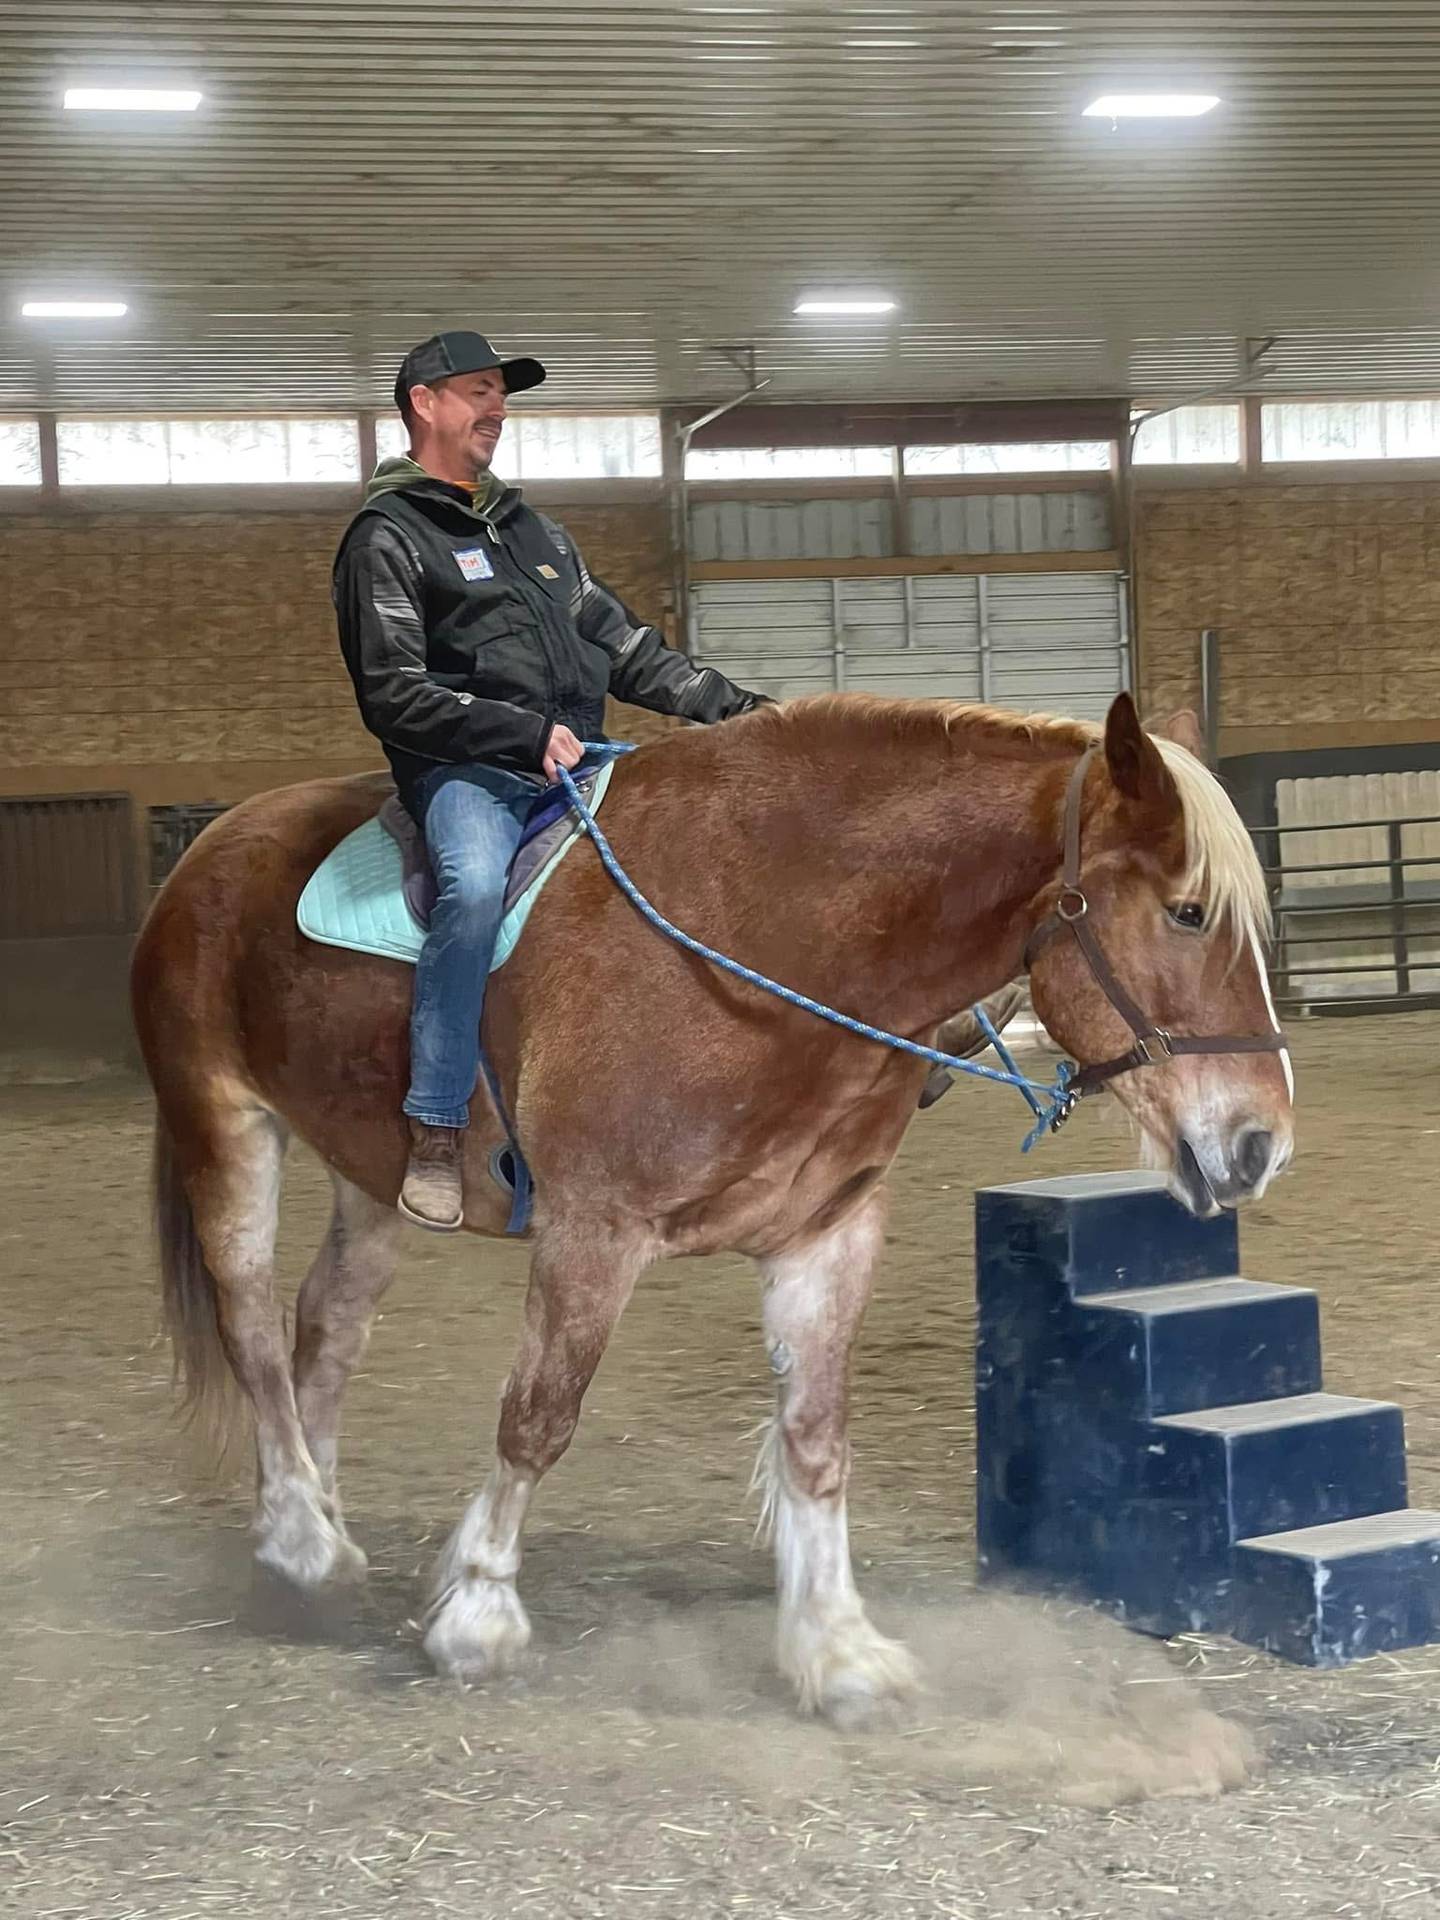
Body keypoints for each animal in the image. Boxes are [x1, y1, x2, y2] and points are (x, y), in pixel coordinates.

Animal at [131, 690, 1293, 1727]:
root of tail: (209, 847)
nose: (1259, 1143)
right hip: (226, 1129)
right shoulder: (592, 1233)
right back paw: (301, 1542)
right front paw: (478, 1616)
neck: (764, 941)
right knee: (251, 1326)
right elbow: (538, 1418)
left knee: (324, 1329)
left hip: (370, 1181)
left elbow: (816, 1439)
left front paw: (838, 1652)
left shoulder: (828, 1236)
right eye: (1188, 913)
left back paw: (314, 1522)